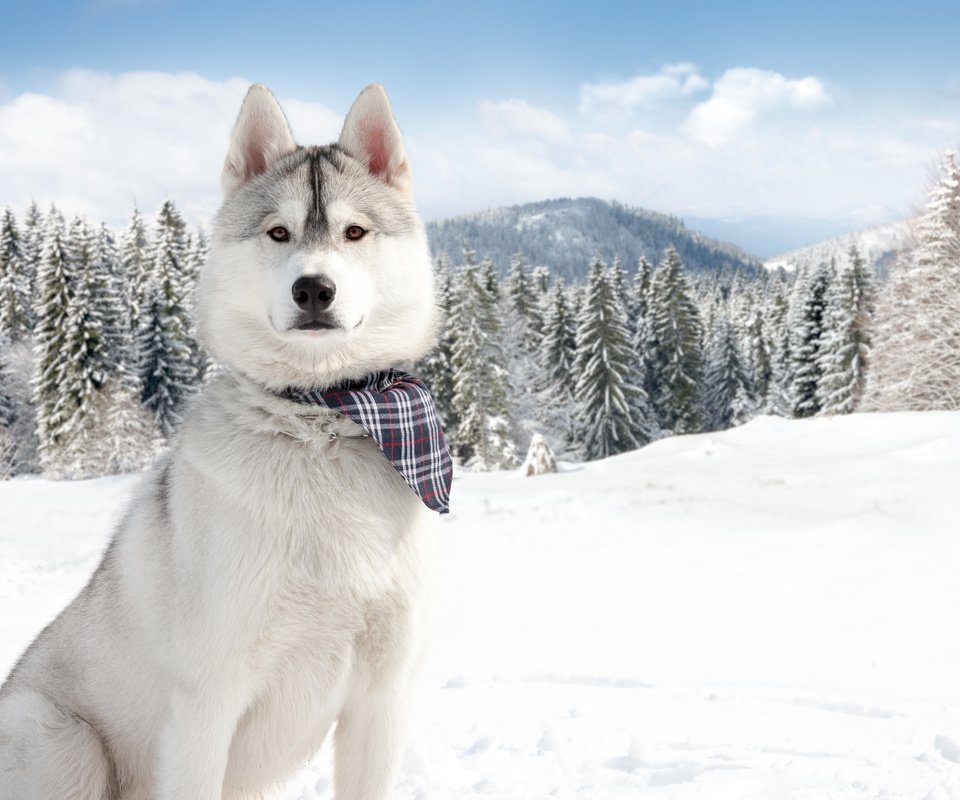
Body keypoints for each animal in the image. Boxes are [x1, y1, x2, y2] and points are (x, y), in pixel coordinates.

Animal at [0, 83, 442, 800]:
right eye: (278, 232)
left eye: (354, 232)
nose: (313, 288)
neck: (318, 423)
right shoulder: (207, 702)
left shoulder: (380, 699)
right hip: (61, 739)